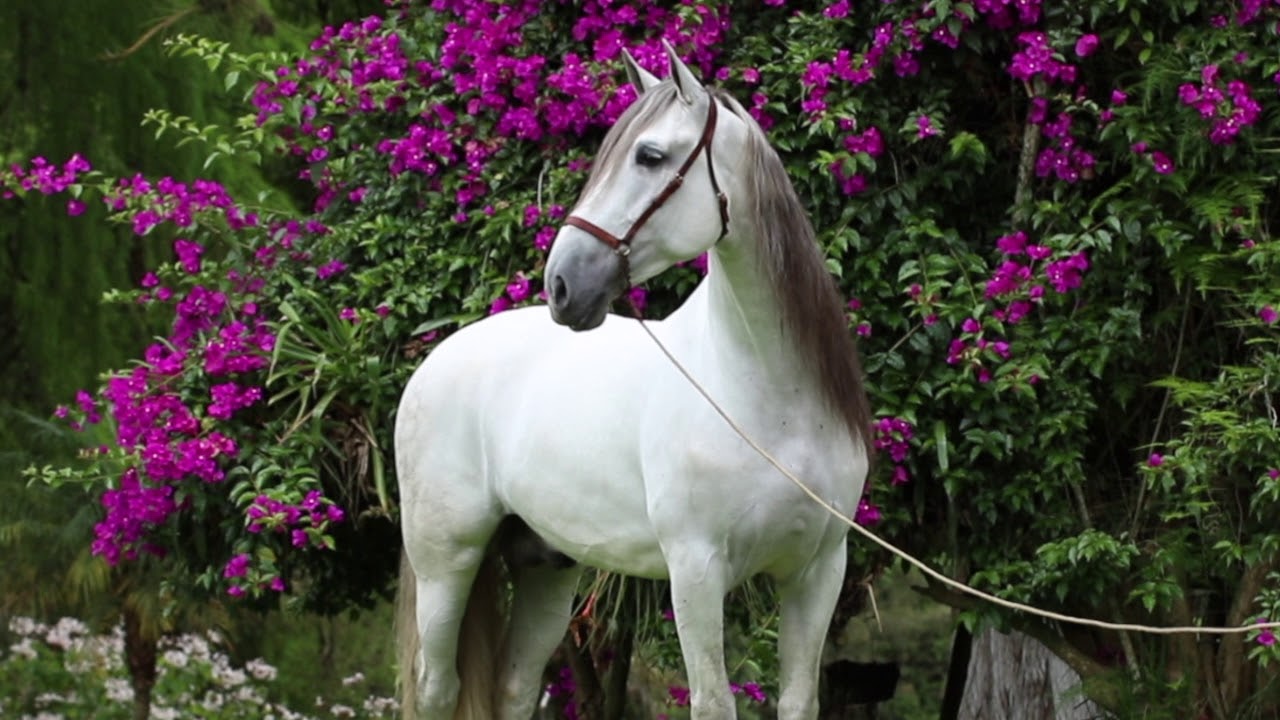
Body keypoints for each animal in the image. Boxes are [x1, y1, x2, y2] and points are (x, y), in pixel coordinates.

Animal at [394, 43, 872, 720]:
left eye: (649, 156)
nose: (563, 285)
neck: (772, 405)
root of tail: (436, 360)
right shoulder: (696, 571)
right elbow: (713, 703)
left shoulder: (818, 572)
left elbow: (798, 701)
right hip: (446, 563)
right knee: (438, 687)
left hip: (548, 565)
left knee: (516, 686)